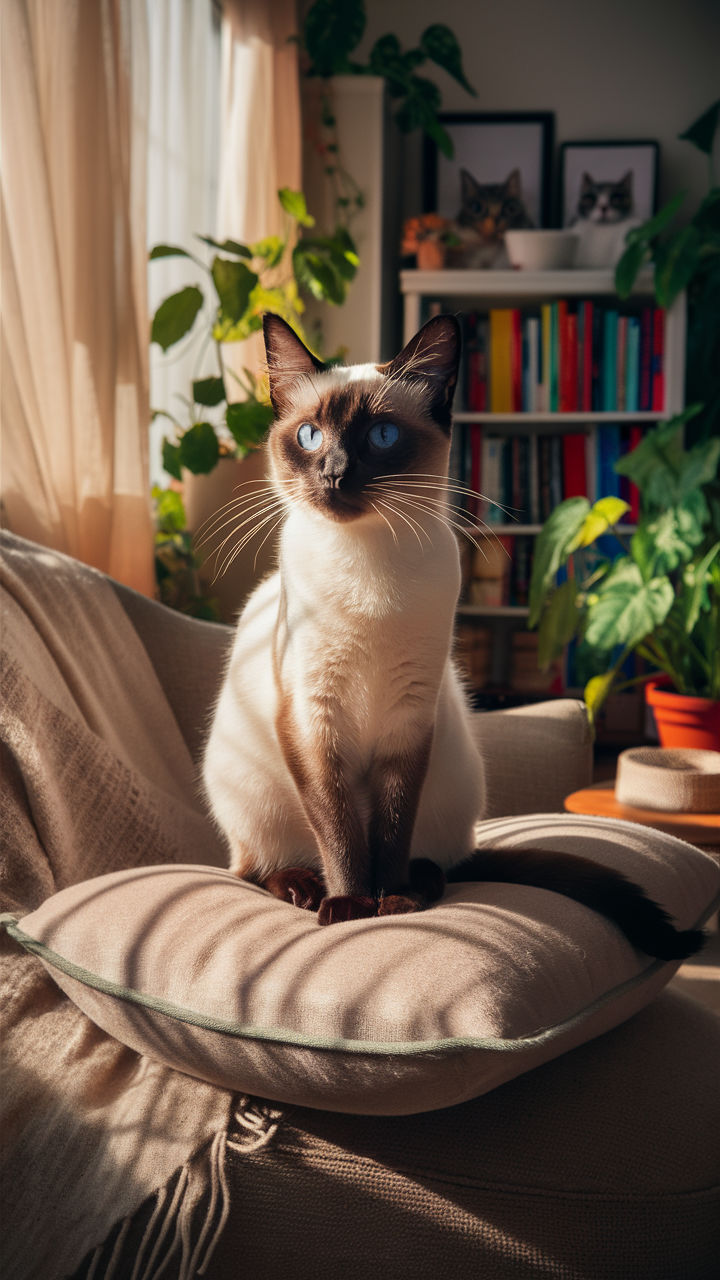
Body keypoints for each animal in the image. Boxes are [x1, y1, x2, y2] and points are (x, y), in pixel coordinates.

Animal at [202, 314, 702, 962]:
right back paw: (305, 890)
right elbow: (340, 830)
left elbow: (389, 827)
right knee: (253, 868)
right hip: (252, 793)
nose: (334, 473)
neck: (367, 567)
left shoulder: (411, 717)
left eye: (382, 436)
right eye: (310, 436)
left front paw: (389, 901)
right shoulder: (313, 718)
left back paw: (415, 886)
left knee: (444, 862)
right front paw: (349, 906)